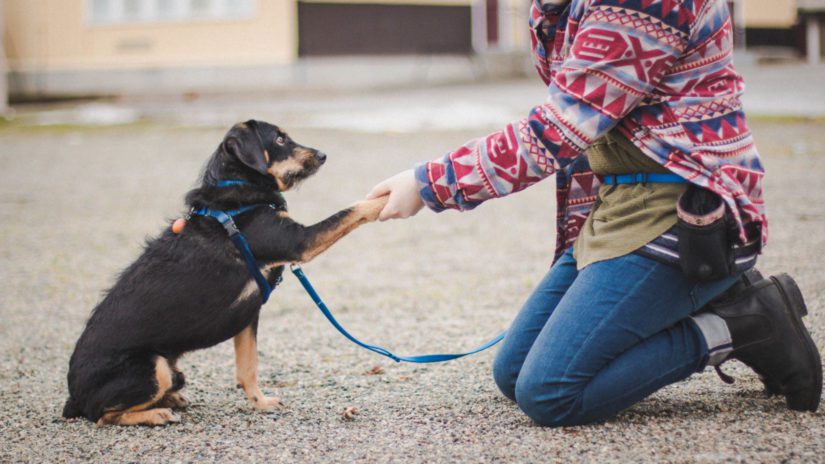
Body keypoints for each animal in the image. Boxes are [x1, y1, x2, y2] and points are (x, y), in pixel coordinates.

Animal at [62, 120, 388, 428]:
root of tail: (74, 397)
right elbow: (354, 209)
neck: (240, 187)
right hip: (154, 368)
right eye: (279, 138)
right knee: (103, 416)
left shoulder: (249, 314)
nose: (322, 155)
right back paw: (158, 414)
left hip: (172, 370)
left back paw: (172, 400)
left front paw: (261, 403)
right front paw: (386, 198)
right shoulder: (300, 242)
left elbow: (248, 368)